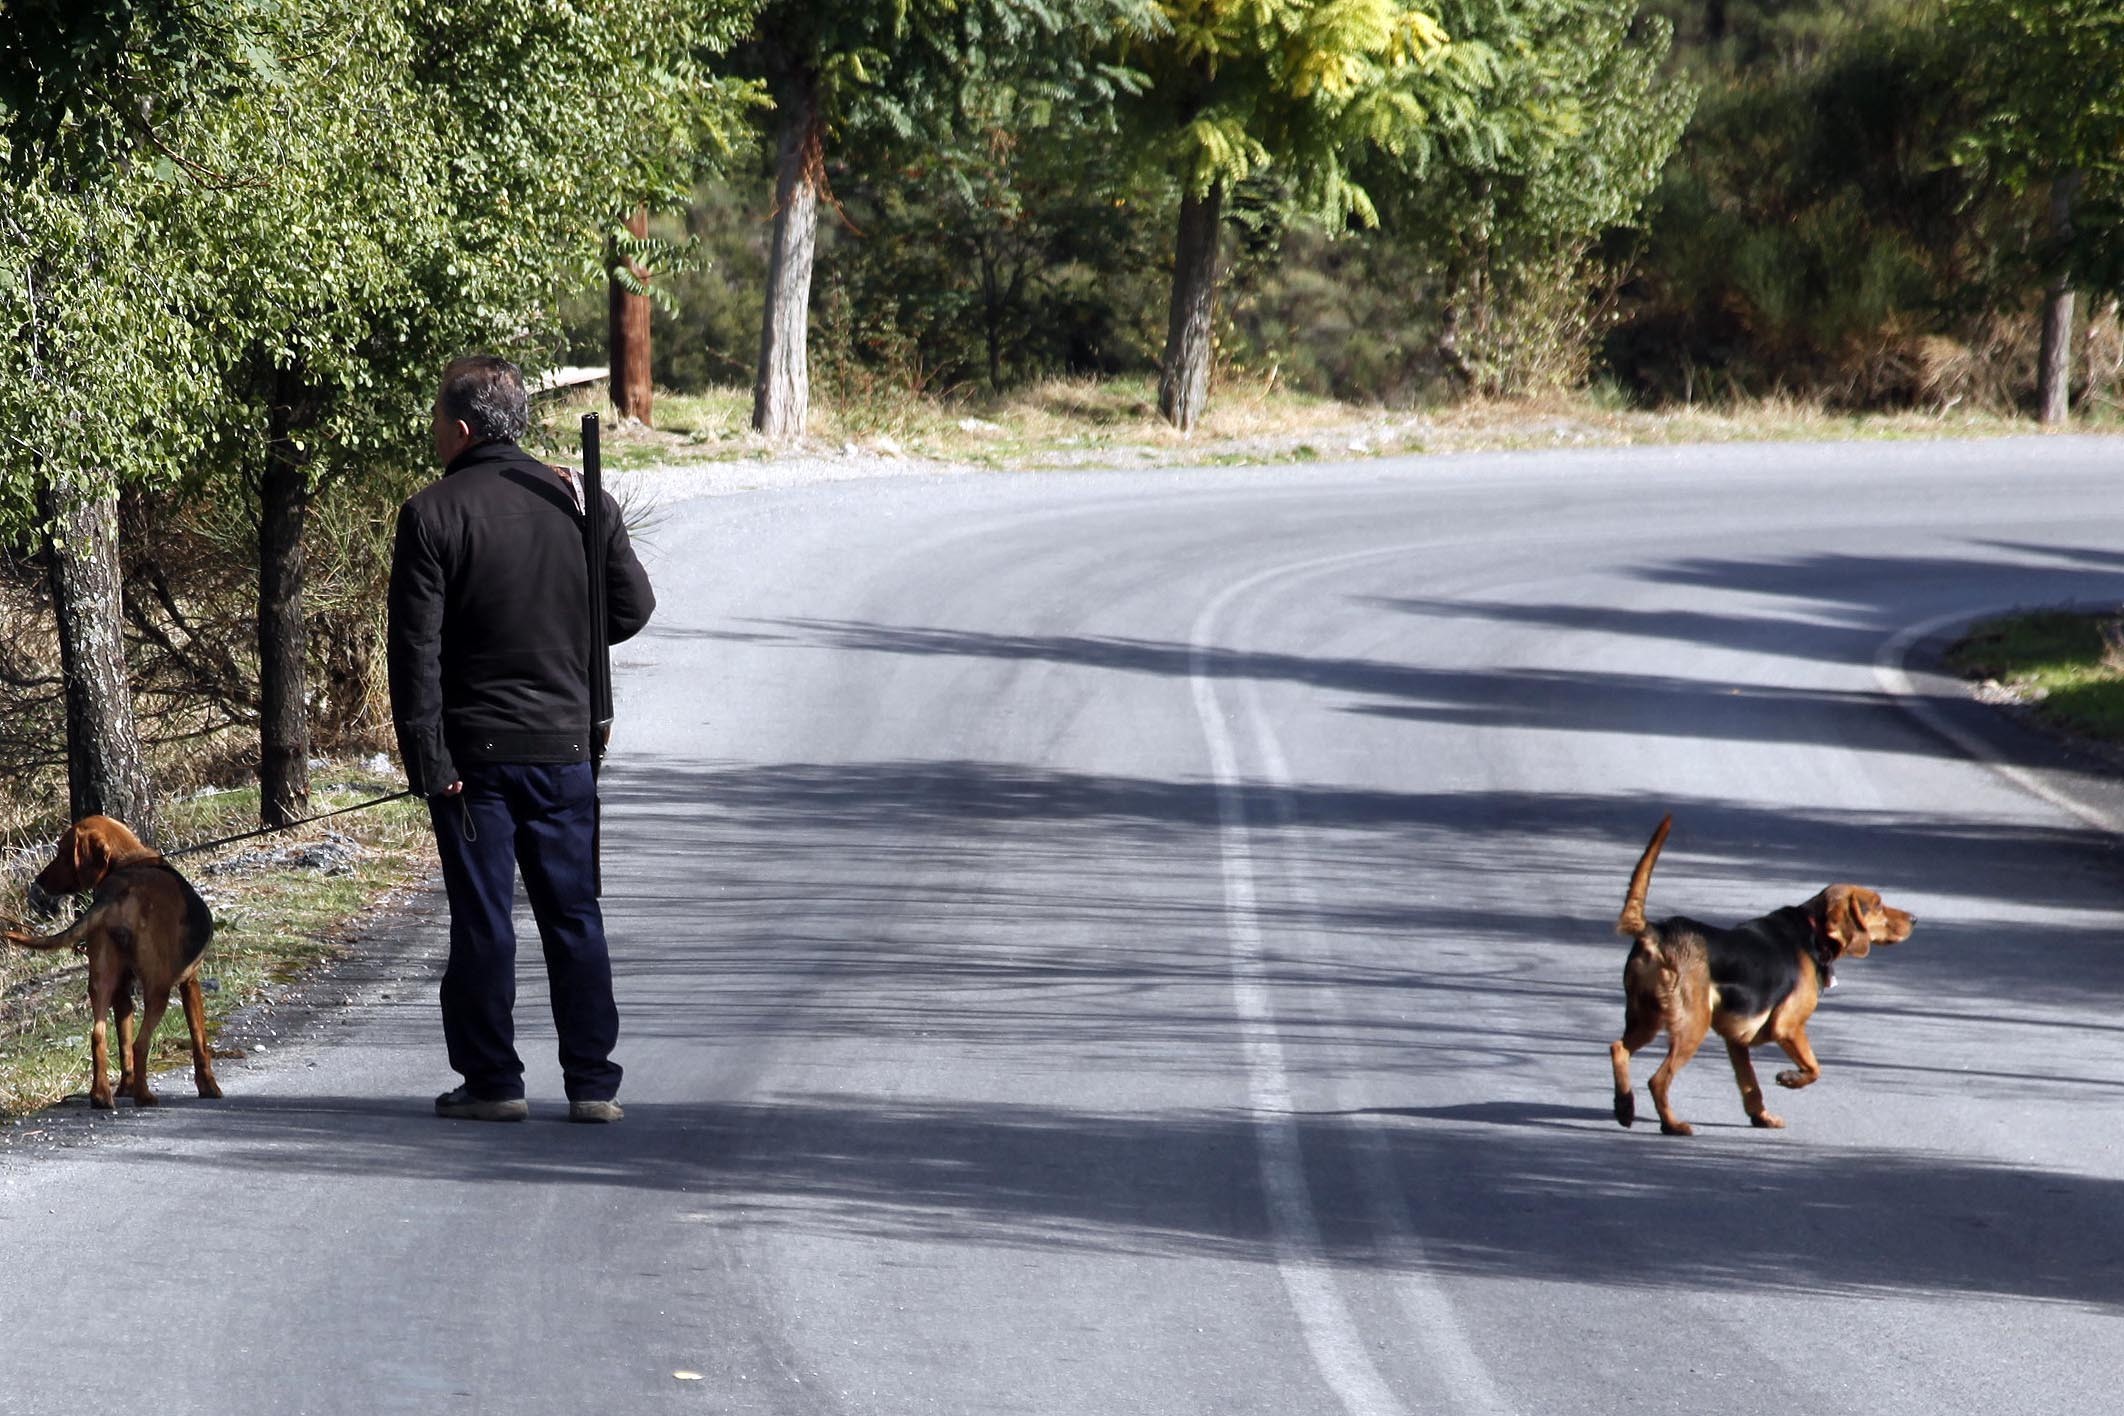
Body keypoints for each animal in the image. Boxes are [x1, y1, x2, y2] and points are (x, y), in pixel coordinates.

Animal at [6, 819, 220, 1103]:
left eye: (62, 852)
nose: (38, 881)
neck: (130, 861)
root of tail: (121, 890)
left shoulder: (122, 992)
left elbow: (123, 1042)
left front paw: (124, 1088)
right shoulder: (190, 983)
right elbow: (199, 1042)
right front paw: (209, 1087)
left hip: (101, 980)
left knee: (98, 1035)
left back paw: (101, 1096)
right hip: (158, 988)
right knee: (141, 1043)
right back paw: (144, 1096)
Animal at [1605, 815, 1911, 1137]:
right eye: (1877, 905)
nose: (1914, 919)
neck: (1812, 931)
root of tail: (1657, 933)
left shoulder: (1737, 1040)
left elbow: (1750, 1085)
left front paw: (1762, 1117)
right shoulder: (1788, 1026)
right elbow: (1814, 1068)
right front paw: (1789, 1078)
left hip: (1646, 1018)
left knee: (1618, 1049)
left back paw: (1624, 1107)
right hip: (1691, 1025)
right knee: (1658, 1080)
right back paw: (1673, 1125)